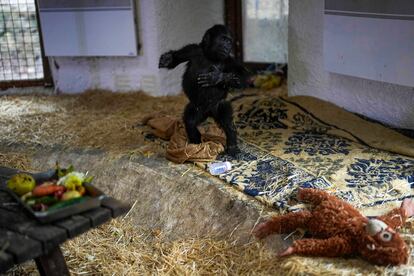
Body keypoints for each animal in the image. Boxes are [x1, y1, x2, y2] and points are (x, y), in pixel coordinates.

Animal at [159, 24, 247, 156]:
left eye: (229, 41)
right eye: (223, 39)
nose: (227, 47)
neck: (210, 56)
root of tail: (209, 112)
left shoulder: (229, 60)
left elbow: (242, 77)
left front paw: (217, 77)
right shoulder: (192, 49)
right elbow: (177, 57)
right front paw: (169, 59)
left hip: (217, 105)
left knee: (227, 122)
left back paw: (232, 147)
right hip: (197, 107)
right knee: (190, 121)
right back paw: (195, 145)